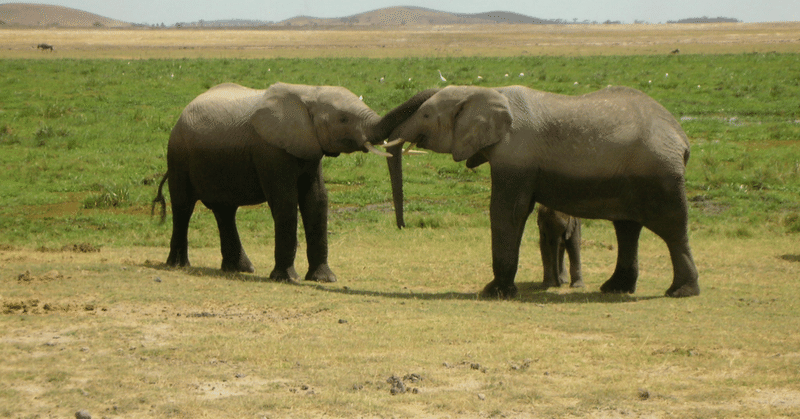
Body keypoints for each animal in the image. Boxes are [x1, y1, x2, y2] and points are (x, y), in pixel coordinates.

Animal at [149, 82, 424, 282]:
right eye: (343, 119)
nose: (401, 226)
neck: (308, 92)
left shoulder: (309, 146)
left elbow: (317, 200)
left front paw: (324, 279)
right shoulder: (270, 151)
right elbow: (285, 201)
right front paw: (287, 279)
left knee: (224, 211)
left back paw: (239, 269)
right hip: (177, 155)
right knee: (184, 207)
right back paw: (179, 265)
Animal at [384, 84, 696, 298]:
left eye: (426, 114)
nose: (402, 225)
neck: (485, 92)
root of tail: (681, 136)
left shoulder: (515, 155)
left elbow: (507, 211)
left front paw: (495, 292)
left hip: (660, 172)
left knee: (672, 227)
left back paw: (680, 292)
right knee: (627, 228)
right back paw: (615, 288)